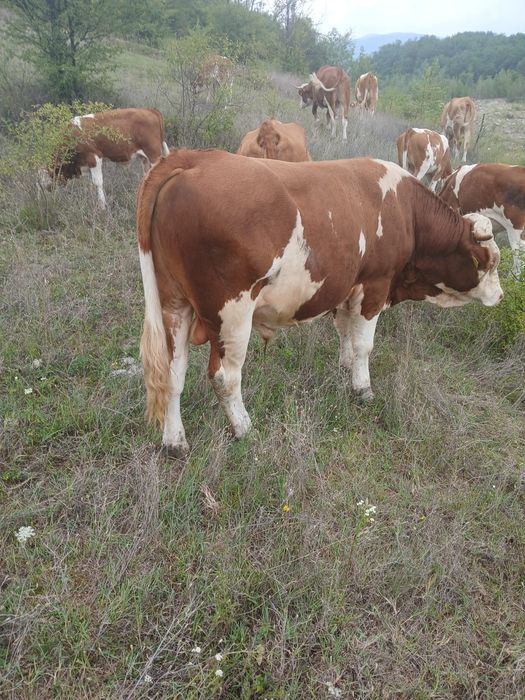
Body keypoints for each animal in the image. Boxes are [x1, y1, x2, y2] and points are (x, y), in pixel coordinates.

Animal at [39, 108, 169, 209]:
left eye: (46, 177)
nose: (43, 199)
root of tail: (149, 110)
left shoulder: (94, 157)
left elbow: (97, 182)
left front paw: (102, 206)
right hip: (145, 158)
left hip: (153, 153)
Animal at [136, 149, 502, 456]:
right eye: (489, 262)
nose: (500, 296)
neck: (407, 211)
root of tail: (197, 158)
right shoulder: (376, 285)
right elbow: (364, 344)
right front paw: (362, 388)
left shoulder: (346, 287)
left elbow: (344, 331)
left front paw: (345, 365)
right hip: (232, 313)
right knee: (225, 376)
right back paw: (244, 428)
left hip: (173, 304)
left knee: (173, 372)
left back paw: (175, 441)